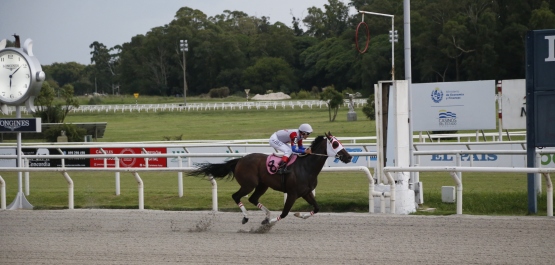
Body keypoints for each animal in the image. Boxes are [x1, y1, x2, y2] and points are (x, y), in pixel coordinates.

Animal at [187, 131, 352, 224]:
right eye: (335, 144)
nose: (349, 157)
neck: (306, 167)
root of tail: (239, 160)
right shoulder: (292, 193)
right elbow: (284, 213)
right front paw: (269, 223)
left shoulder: (306, 192)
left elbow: (316, 208)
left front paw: (299, 214)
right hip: (249, 184)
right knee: (236, 196)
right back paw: (247, 217)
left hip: (262, 185)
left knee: (253, 199)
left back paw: (266, 215)